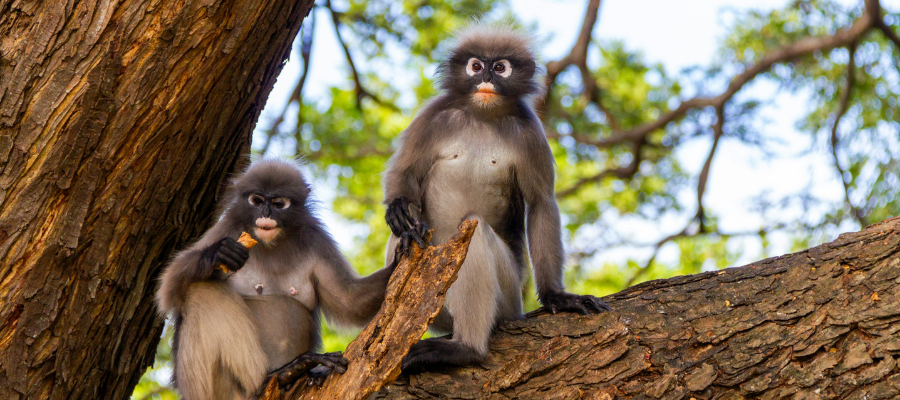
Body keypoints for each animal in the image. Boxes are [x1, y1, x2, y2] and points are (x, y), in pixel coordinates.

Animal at [157, 159, 394, 400]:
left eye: (279, 203)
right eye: (257, 200)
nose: (266, 212)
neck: (271, 242)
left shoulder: (315, 239)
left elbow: (348, 300)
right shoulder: (229, 228)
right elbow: (169, 289)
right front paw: (218, 253)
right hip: (216, 389)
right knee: (200, 290)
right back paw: (275, 377)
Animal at [380, 21, 612, 372]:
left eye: (500, 68)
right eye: (476, 66)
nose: (487, 77)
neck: (482, 115)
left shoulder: (530, 132)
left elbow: (541, 203)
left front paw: (557, 297)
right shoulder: (433, 116)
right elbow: (402, 174)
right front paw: (398, 209)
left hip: (506, 297)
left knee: (475, 232)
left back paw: (465, 349)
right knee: (406, 232)